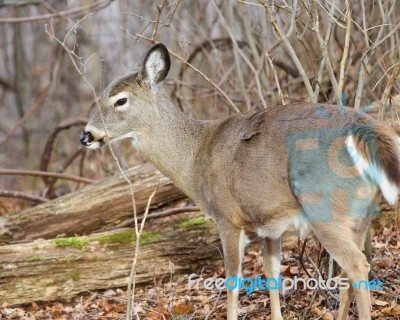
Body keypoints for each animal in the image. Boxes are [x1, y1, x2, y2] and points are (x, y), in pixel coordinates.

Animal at [79, 43, 398, 320]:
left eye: (120, 100)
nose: (86, 135)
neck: (195, 159)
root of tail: (367, 129)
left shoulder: (226, 216)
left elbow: (232, 279)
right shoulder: (269, 223)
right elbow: (271, 273)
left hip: (324, 205)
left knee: (356, 265)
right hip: (362, 212)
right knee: (348, 272)